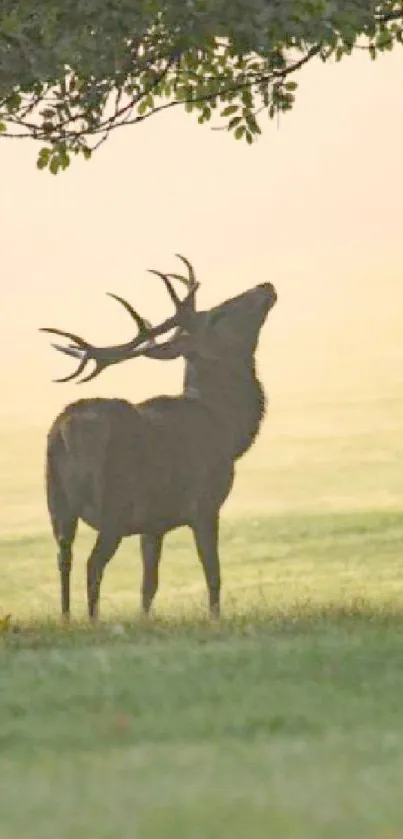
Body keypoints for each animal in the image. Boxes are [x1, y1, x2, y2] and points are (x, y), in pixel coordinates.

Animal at [42, 258, 278, 624]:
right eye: (219, 315)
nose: (265, 286)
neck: (227, 428)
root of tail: (65, 432)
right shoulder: (205, 503)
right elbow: (213, 573)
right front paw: (215, 620)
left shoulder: (152, 524)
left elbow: (148, 585)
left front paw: (145, 620)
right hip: (113, 504)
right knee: (92, 565)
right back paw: (94, 622)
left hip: (57, 502)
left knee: (63, 558)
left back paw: (67, 620)